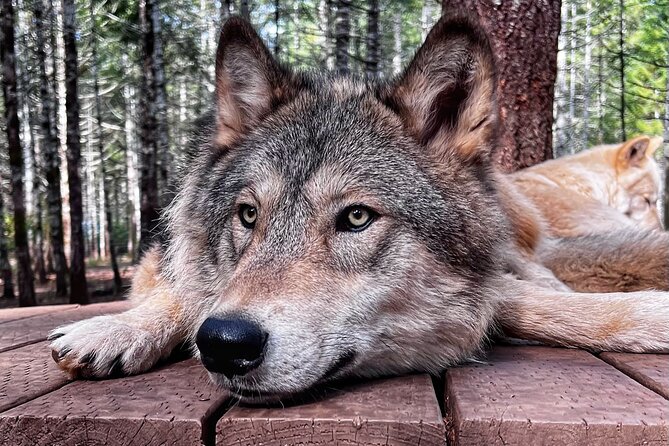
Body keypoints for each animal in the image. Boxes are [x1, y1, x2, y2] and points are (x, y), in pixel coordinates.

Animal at [49, 13, 669, 404]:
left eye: (356, 217)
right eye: (248, 216)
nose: (225, 343)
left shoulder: (500, 285)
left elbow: (536, 305)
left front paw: (647, 313)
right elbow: (181, 292)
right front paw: (116, 329)